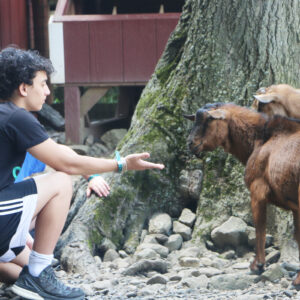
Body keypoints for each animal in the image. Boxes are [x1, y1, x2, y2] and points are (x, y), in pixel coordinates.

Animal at [185, 103, 300, 288]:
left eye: (209, 119)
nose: (190, 143)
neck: (261, 140)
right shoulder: (294, 205)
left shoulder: (257, 190)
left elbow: (260, 227)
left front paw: (257, 265)